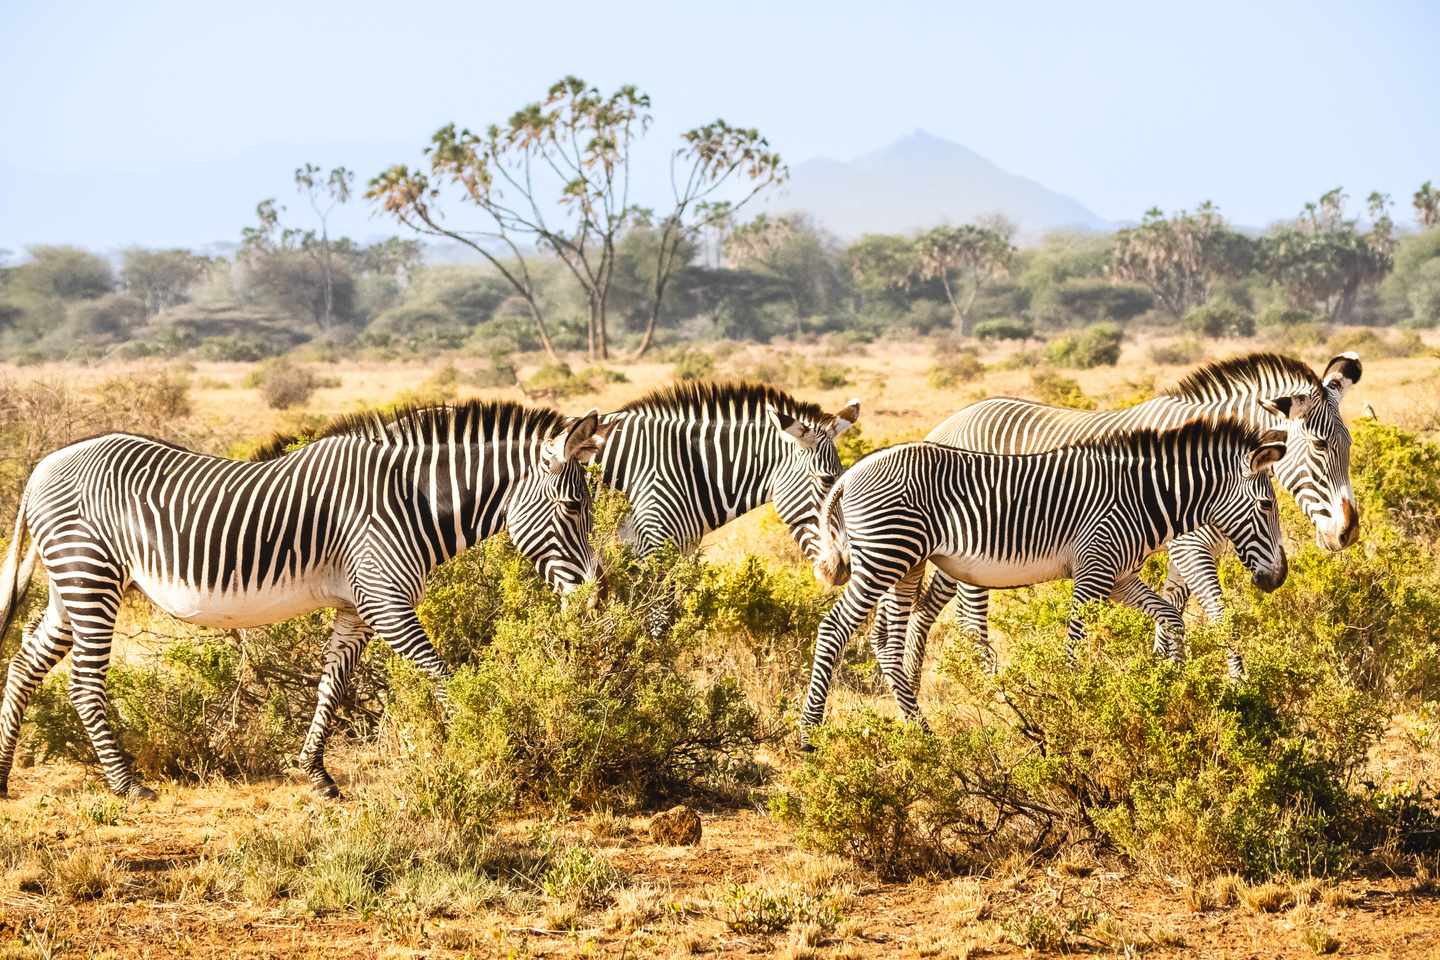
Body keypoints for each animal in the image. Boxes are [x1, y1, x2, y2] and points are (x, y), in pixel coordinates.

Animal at [0, 401, 616, 800]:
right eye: (572, 509)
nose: (592, 600)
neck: (411, 500)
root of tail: (42, 466)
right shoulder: (386, 601)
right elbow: (443, 676)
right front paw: (485, 745)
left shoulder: (356, 608)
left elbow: (331, 685)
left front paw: (316, 775)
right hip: (90, 576)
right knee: (82, 684)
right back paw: (126, 785)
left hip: (70, 585)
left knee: (24, 662)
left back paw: (4, 775)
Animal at [804, 416, 1289, 735]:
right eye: (1268, 505)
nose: (1278, 578)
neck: (1142, 497)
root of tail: (849, 474)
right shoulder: (1094, 570)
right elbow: (1073, 645)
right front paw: (1073, 708)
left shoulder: (1119, 577)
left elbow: (1170, 616)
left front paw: (1175, 685)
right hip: (885, 557)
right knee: (834, 628)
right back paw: (810, 735)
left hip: (906, 563)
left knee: (884, 640)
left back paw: (920, 731)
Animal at [889, 351, 1361, 683]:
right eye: (1320, 445)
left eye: (1350, 444)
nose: (1347, 532)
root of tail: (945, 425)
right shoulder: (1191, 548)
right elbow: (1217, 614)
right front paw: (1238, 687)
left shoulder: (1183, 551)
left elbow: (1171, 610)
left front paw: (1165, 675)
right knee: (971, 622)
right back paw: (992, 689)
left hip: (951, 556)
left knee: (926, 608)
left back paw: (913, 679)